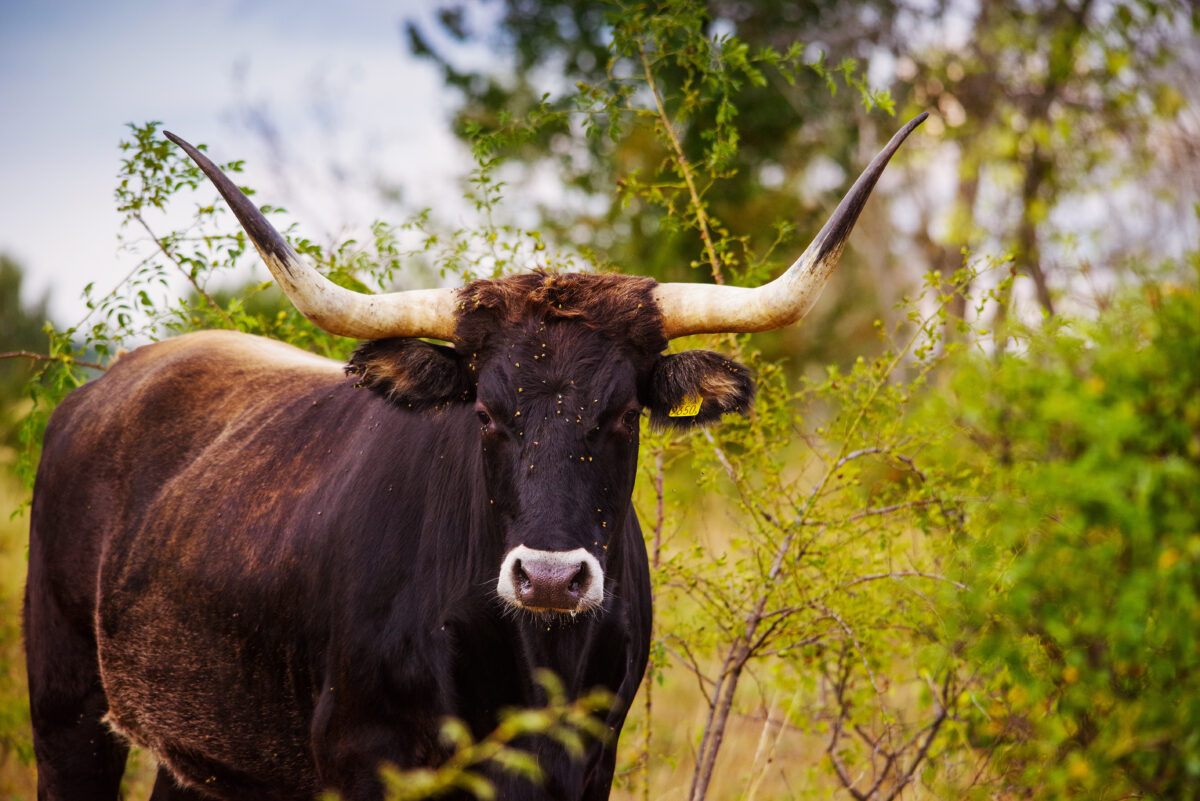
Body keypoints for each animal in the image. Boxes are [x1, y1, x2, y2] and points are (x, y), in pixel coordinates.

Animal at [25, 112, 926, 801]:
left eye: (622, 413)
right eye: (487, 413)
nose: (553, 578)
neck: (534, 655)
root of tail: (107, 384)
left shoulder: (590, 768)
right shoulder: (362, 762)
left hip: (207, 757)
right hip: (67, 712)